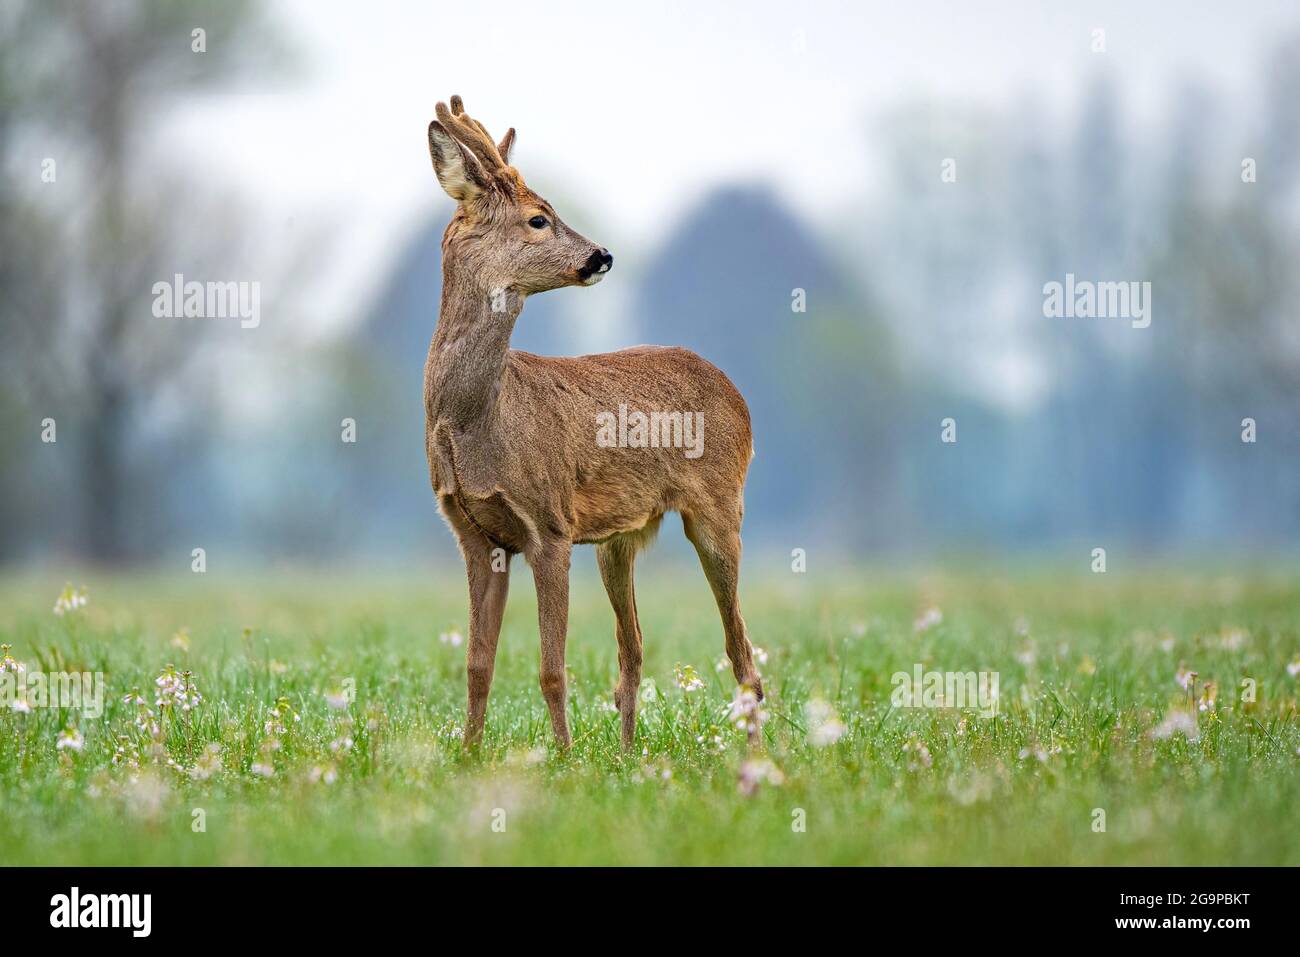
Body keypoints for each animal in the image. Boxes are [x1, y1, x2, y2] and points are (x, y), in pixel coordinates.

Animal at [424, 95, 762, 751]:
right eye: (538, 219)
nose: (601, 255)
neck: (478, 421)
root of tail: (737, 394)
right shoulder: (474, 533)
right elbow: (478, 665)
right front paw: (469, 754)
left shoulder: (550, 524)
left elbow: (552, 669)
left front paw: (563, 756)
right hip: (620, 537)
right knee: (633, 650)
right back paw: (630, 755)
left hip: (718, 507)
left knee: (742, 653)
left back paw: (759, 755)